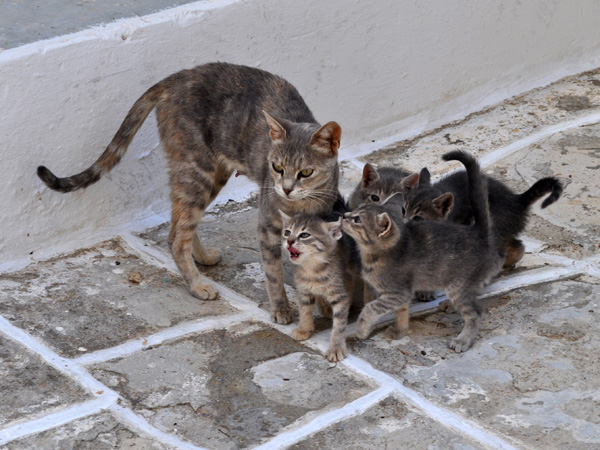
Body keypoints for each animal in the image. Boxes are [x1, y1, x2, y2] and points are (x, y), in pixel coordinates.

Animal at [36, 62, 342, 324]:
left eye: (306, 172)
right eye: (277, 167)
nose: (286, 188)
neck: (301, 205)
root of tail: (177, 77)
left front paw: (324, 306)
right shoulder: (268, 224)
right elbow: (274, 272)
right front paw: (281, 308)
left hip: (209, 174)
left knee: (181, 220)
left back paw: (202, 257)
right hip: (197, 169)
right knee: (175, 235)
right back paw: (196, 284)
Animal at [278, 211, 358, 362]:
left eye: (304, 235)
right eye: (287, 232)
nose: (289, 241)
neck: (312, 270)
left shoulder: (340, 295)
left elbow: (339, 324)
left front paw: (336, 347)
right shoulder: (303, 290)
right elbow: (305, 310)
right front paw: (304, 329)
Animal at [340, 151, 504, 352]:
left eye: (357, 220)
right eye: (372, 200)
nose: (344, 215)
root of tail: (478, 232)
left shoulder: (397, 291)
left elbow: (370, 307)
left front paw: (362, 329)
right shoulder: (400, 294)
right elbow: (400, 311)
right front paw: (399, 330)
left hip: (457, 285)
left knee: (476, 312)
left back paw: (463, 339)